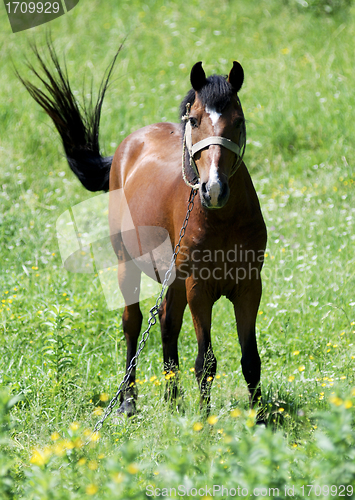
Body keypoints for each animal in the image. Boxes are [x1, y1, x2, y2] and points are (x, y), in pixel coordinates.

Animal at [17, 42, 268, 418]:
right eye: (195, 120)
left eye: (238, 122)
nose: (214, 189)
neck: (222, 218)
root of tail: (129, 145)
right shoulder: (199, 288)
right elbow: (206, 362)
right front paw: (205, 422)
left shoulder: (249, 286)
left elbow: (251, 359)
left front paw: (261, 420)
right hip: (128, 266)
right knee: (132, 324)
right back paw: (128, 401)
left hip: (172, 278)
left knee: (166, 323)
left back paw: (172, 397)